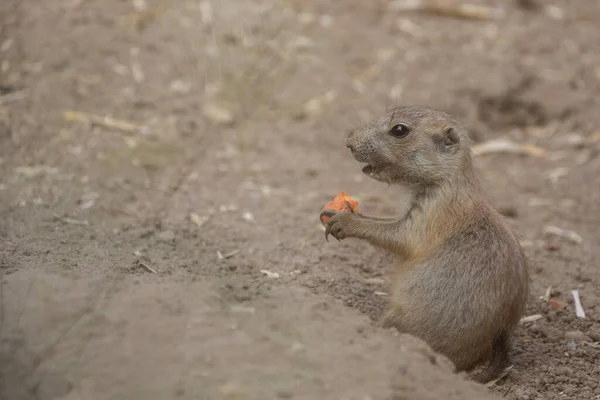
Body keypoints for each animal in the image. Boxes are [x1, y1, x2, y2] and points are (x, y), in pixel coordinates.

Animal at [324, 105, 528, 384]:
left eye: (399, 130)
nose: (349, 141)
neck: (447, 180)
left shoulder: (432, 213)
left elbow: (401, 236)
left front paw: (342, 220)